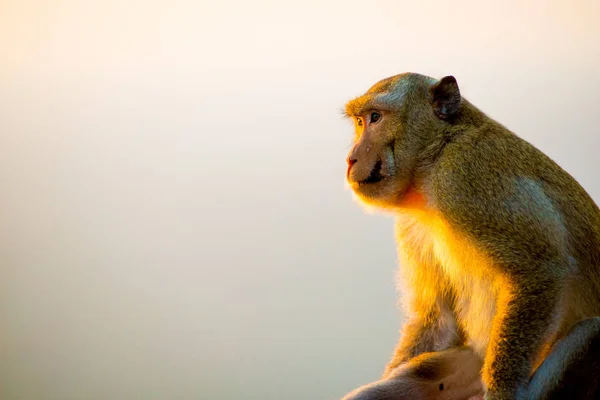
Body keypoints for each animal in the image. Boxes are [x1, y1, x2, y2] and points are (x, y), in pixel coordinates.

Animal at [340, 72, 600, 400]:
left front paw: (503, 390)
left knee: (591, 331)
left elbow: (539, 270)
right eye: (359, 122)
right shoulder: (412, 224)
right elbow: (438, 319)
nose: (350, 159)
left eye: (375, 118)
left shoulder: (465, 177)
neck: (433, 159)